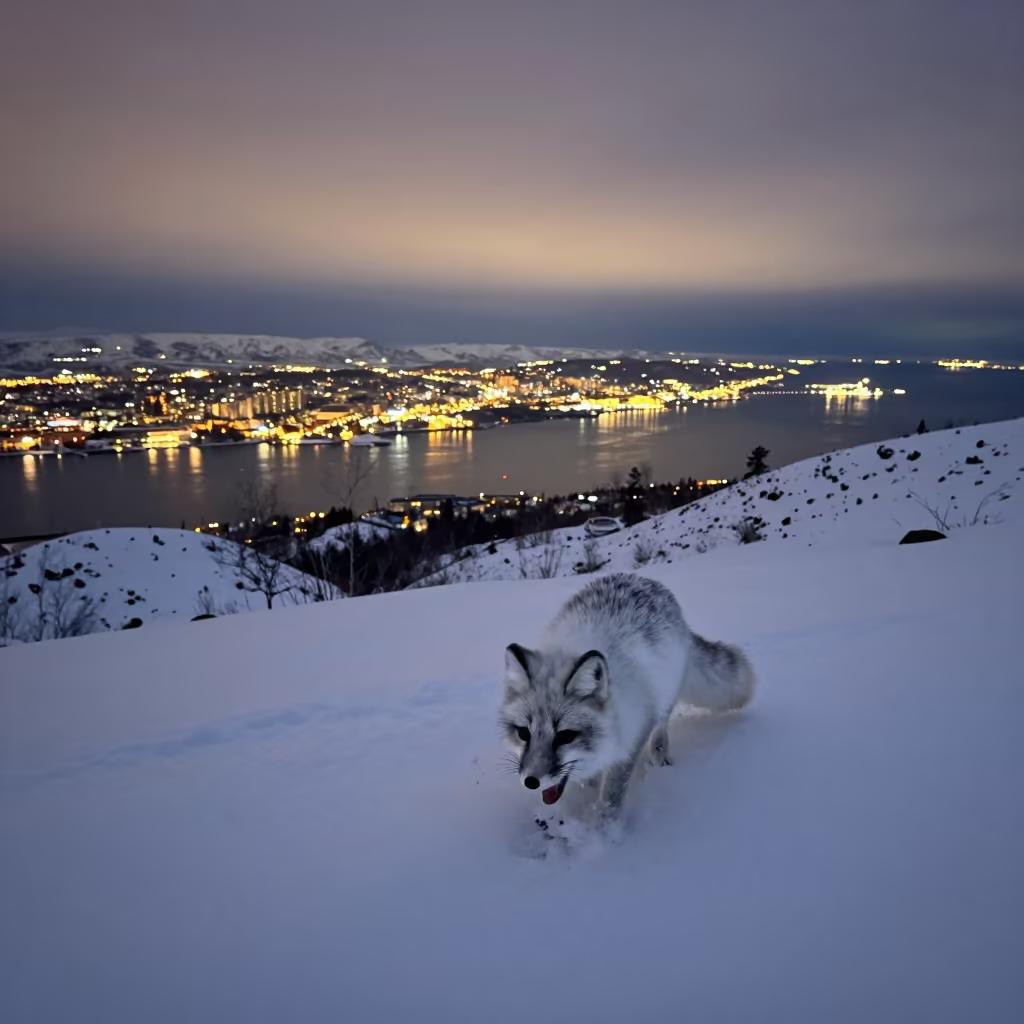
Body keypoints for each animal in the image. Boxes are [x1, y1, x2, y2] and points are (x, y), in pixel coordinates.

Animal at [501, 573, 754, 824]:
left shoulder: (635, 732)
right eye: (523, 733)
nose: (531, 782)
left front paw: (602, 828)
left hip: (666, 695)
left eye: (565, 736)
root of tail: (643, 578)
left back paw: (659, 754)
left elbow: (613, 794)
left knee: (661, 726)